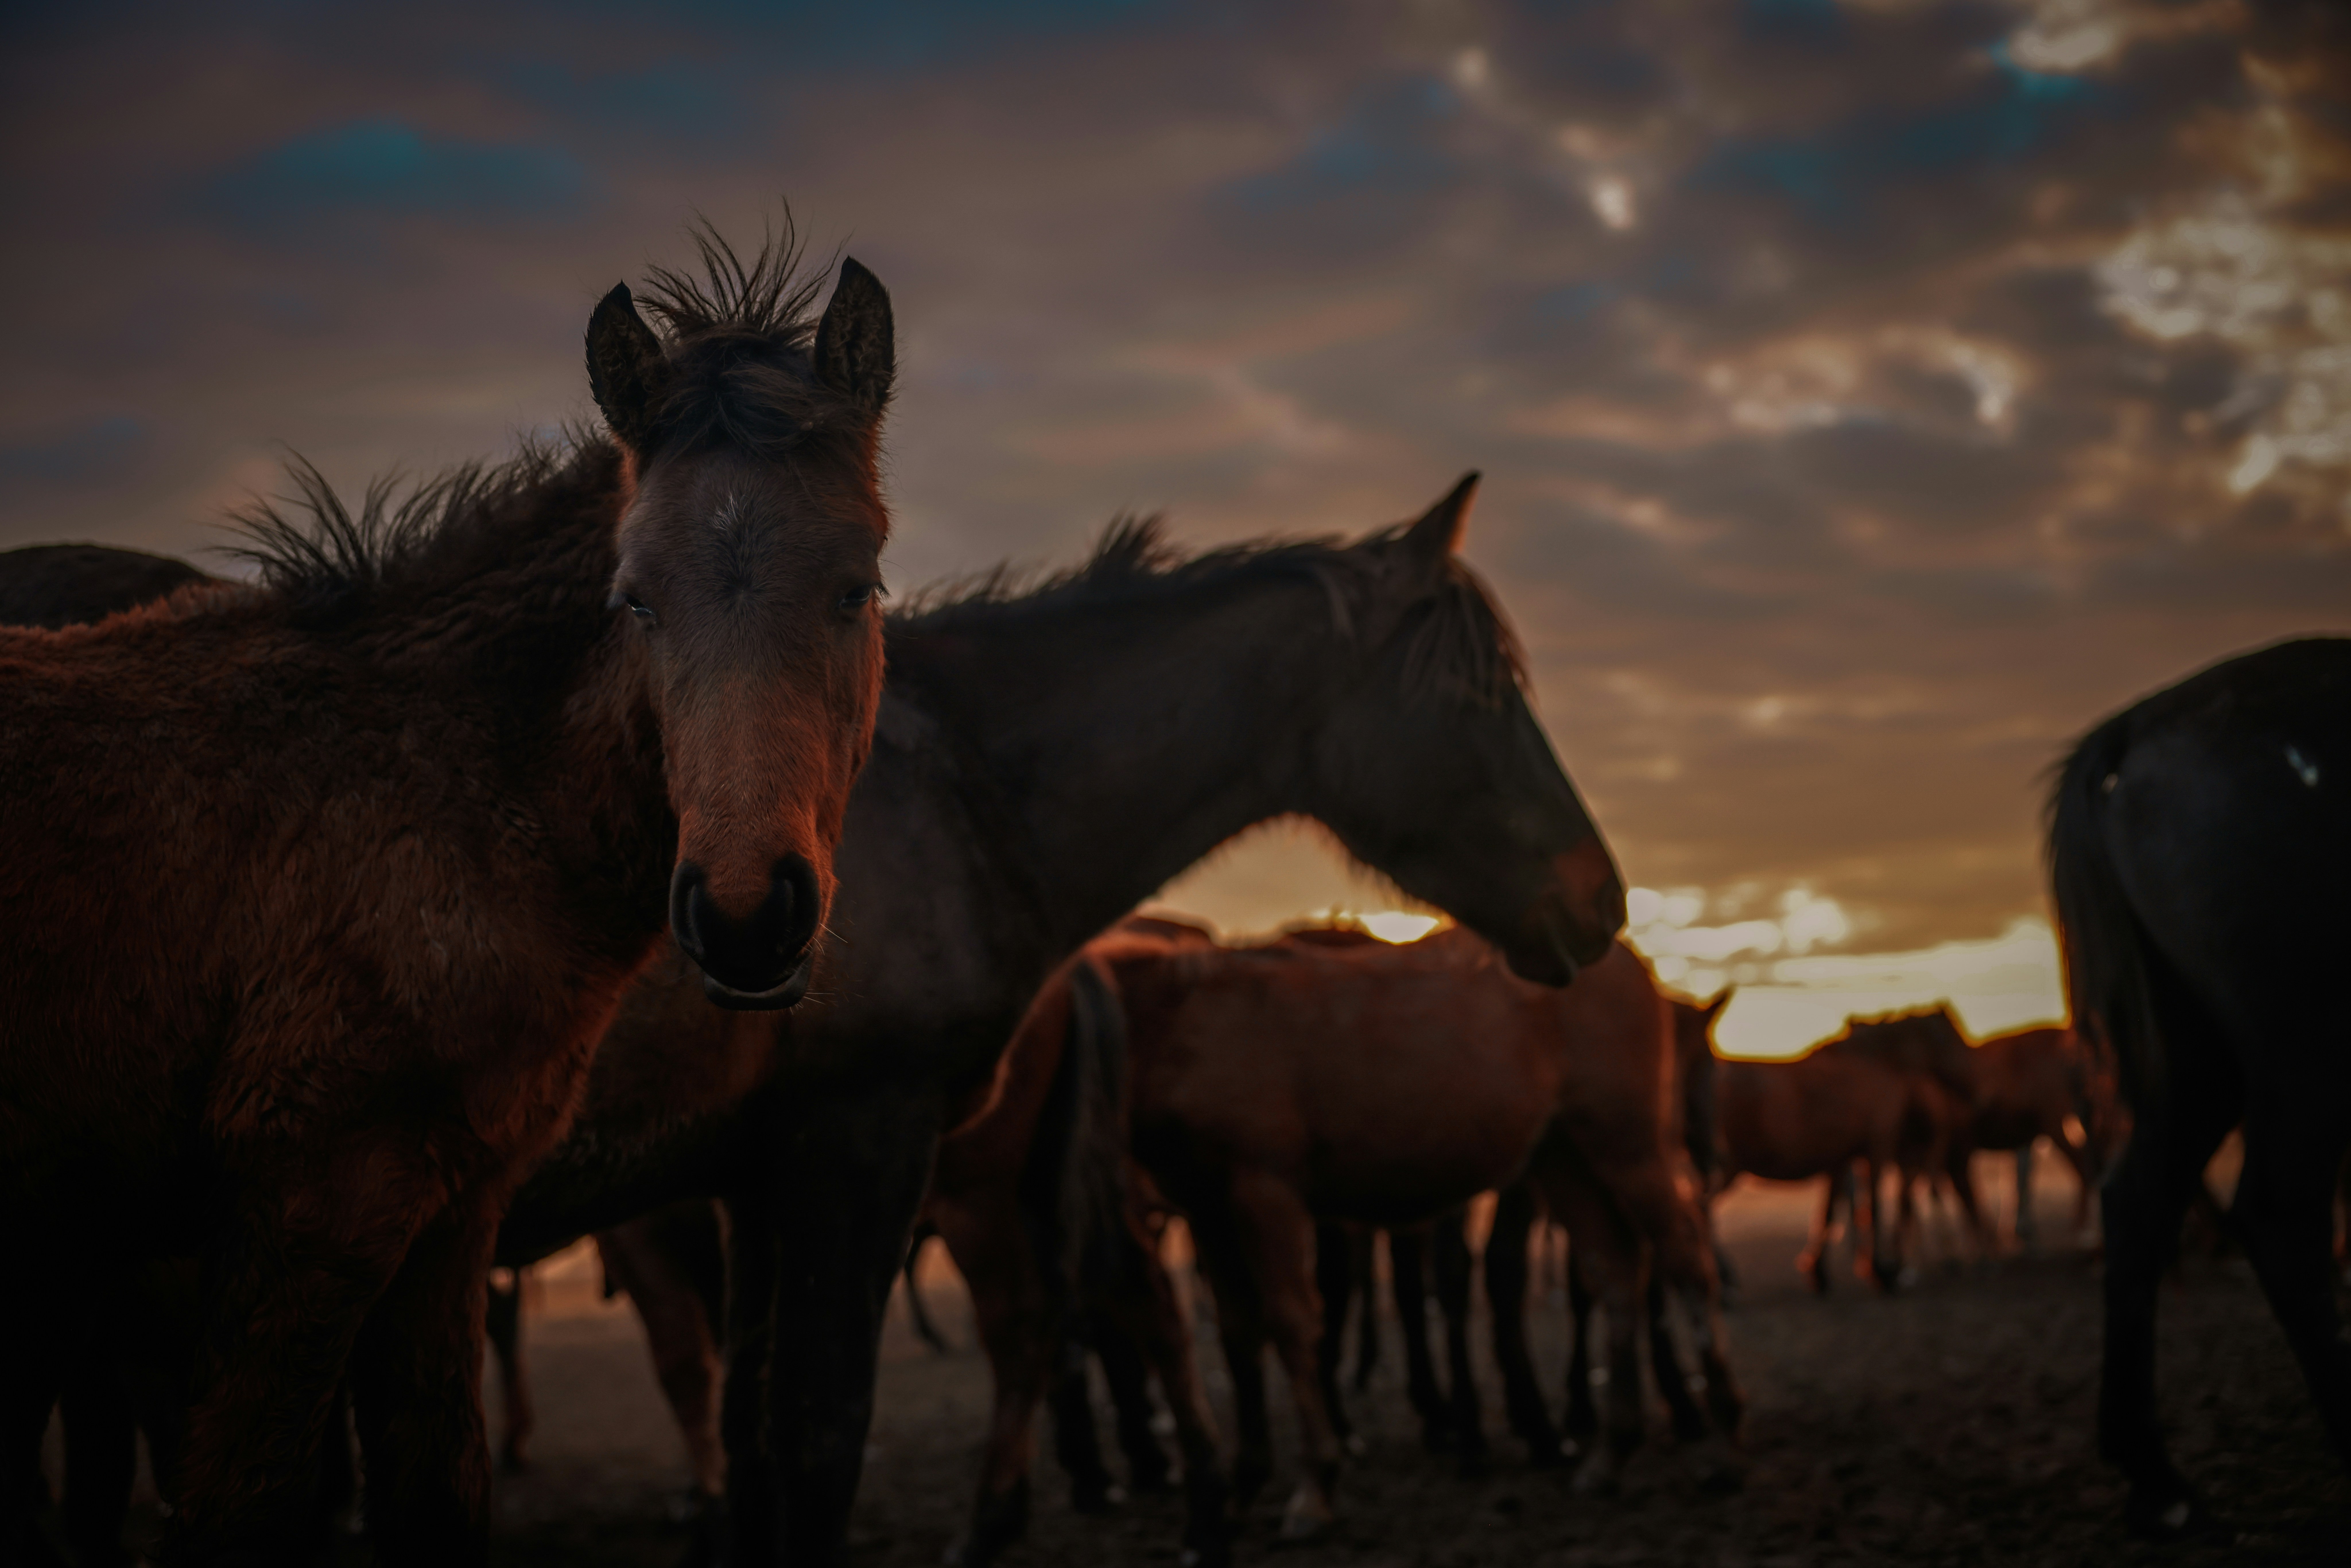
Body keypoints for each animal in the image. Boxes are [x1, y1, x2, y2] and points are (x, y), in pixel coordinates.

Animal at [0, 222, 897, 1564]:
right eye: (634, 598)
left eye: (861, 587)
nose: (746, 917)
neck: (436, 789)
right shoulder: (311, 1208)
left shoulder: (444, 1222)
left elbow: (439, 1493)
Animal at [493, 474, 1627, 1567]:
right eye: (1484, 695)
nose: (1604, 898)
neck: (951, 786)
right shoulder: (822, 1155)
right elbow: (789, 1443)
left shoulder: (803, 1166)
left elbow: (783, 1437)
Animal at [2048, 636, 2351, 1537]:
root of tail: (2144, 723)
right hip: (2302, 1046)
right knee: (2280, 1217)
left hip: (2203, 1056)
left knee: (2139, 1200)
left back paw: (2155, 1476)